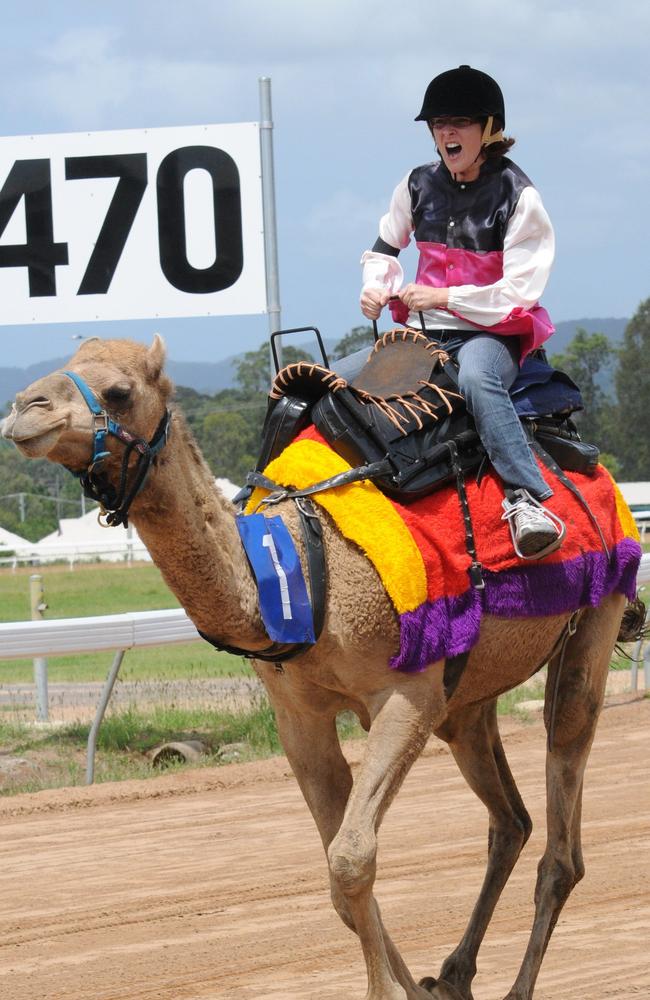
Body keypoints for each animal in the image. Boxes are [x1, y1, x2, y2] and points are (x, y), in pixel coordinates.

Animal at [3, 332, 644, 996]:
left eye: (118, 392)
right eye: (66, 366)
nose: (25, 408)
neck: (304, 566)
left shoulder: (407, 697)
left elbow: (351, 857)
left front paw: (390, 989)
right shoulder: (299, 717)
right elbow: (340, 879)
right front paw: (408, 987)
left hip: (593, 621)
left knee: (563, 836)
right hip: (469, 697)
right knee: (509, 821)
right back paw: (453, 973)